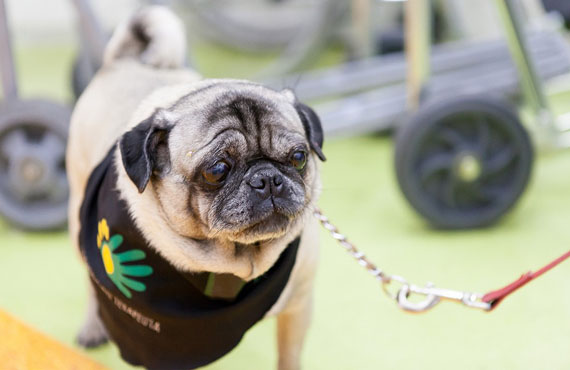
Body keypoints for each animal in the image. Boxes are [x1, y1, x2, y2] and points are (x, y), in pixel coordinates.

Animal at [66, 5, 322, 370]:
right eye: (217, 170)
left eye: (299, 157)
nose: (266, 179)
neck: (234, 267)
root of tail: (125, 60)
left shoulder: (298, 306)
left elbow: (289, 356)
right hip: (79, 219)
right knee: (91, 281)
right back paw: (92, 327)